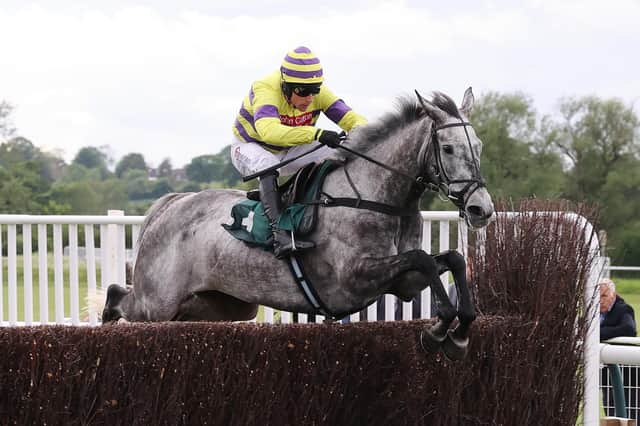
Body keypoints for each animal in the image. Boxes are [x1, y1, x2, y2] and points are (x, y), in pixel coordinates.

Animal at [104, 89, 496, 360]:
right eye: (448, 148)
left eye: (478, 145)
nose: (481, 208)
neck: (373, 195)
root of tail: (170, 205)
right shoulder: (353, 278)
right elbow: (425, 259)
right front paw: (438, 331)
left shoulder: (402, 283)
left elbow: (449, 259)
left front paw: (457, 334)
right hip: (157, 302)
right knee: (120, 296)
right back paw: (106, 318)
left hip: (221, 305)